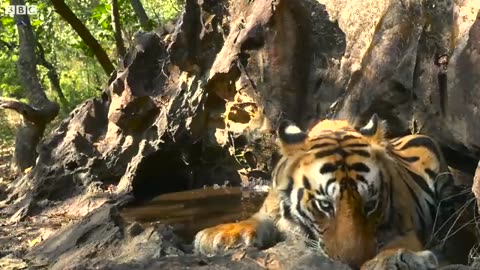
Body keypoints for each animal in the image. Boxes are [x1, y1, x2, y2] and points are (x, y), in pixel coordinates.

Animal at [193, 114, 456, 270]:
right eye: (326, 205)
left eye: (370, 205)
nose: (352, 263)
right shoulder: (269, 210)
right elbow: (252, 221)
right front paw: (220, 235)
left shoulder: (405, 227)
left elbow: (398, 244)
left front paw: (388, 260)